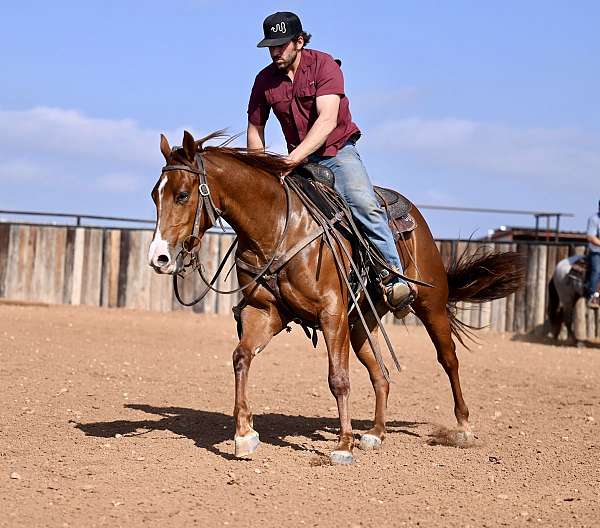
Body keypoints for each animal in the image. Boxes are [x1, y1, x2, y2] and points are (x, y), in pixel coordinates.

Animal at [149, 132, 524, 466]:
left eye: (182, 195)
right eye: (155, 195)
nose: (159, 258)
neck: (279, 226)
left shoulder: (332, 313)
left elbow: (338, 379)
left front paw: (343, 445)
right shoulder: (266, 312)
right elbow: (241, 357)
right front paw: (244, 435)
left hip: (429, 306)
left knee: (449, 360)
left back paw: (463, 427)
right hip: (360, 324)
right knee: (381, 373)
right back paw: (375, 433)